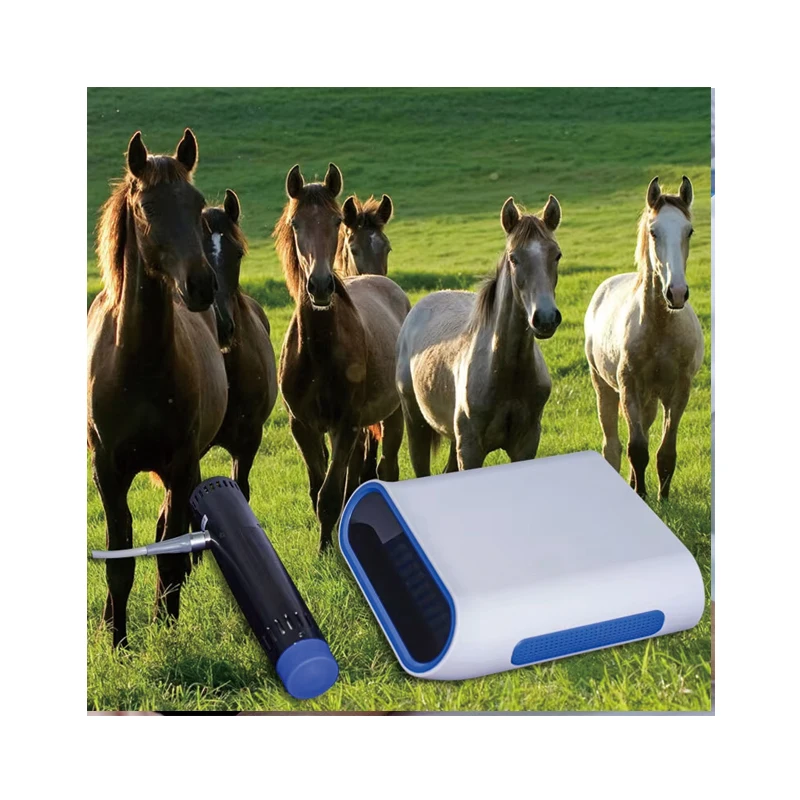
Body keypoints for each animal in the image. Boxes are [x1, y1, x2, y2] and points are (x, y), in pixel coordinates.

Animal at [87, 130, 228, 647]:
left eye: (197, 202)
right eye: (147, 206)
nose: (201, 285)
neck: (138, 365)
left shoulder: (181, 464)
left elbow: (168, 555)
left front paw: (166, 633)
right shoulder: (107, 472)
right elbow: (118, 559)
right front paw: (118, 642)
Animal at [275, 163, 410, 551]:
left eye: (336, 222)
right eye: (295, 224)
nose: (320, 286)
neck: (318, 349)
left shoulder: (347, 423)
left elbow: (331, 493)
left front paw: (327, 549)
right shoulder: (302, 426)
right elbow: (317, 488)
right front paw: (326, 546)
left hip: (393, 414)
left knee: (386, 468)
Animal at [396, 194, 563, 474]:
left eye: (557, 255)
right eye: (513, 258)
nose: (546, 318)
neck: (503, 371)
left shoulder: (526, 444)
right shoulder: (471, 449)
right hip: (415, 421)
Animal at [584, 176, 703, 499]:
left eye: (689, 230)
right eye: (653, 231)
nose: (676, 293)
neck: (660, 329)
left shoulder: (679, 391)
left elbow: (665, 452)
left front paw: (662, 496)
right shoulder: (629, 388)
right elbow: (636, 449)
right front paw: (642, 495)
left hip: (650, 398)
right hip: (604, 387)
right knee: (612, 446)